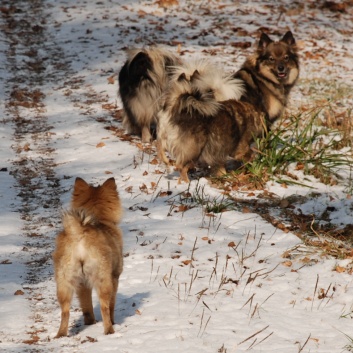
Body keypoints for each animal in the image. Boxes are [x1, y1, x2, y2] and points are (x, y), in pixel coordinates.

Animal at [52, 177, 123, 336]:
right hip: (103, 280)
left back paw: (61, 335)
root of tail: (78, 234)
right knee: (104, 307)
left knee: (65, 312)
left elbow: (87, 307)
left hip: (64, 283)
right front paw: (113, 322)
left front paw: (90, 323)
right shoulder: (114, 277)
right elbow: (111, 305)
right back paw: (109, 330)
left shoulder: (82, 285)